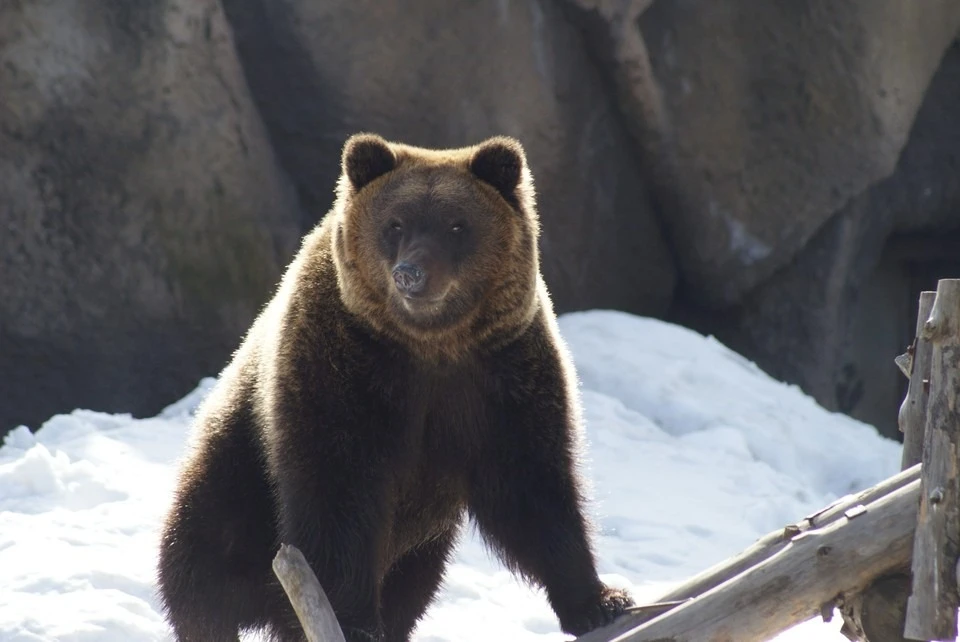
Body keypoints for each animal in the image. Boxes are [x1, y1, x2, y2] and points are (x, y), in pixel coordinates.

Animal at [156, 132, 636, 636]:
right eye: (395, 224)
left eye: (456, 225)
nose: (411, 273)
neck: (430, 346)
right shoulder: (342, 369)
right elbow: (338, 493)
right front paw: (352, 619)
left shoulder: (502, 374)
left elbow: (533, 486)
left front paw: (599, 599)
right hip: (234, 470)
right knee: (200, 559)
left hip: (421, 547)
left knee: (413, 586)